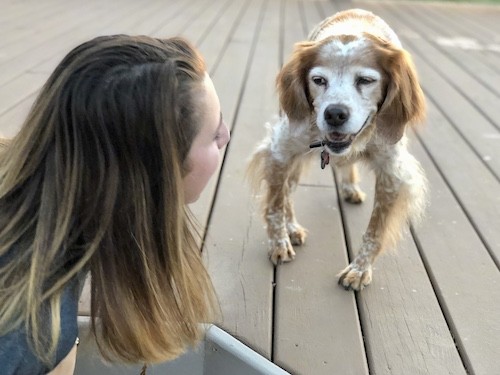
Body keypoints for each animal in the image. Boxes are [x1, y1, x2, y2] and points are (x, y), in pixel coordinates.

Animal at [248, 8, 428, 290]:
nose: (334, 113)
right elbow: (276, 206)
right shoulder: (280, 150)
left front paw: (359, 269)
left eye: (365, 80)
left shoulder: (393, 173)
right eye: (318, 80)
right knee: (287, 191)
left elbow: (374, 232)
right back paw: (293, 228)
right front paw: (279, 242)